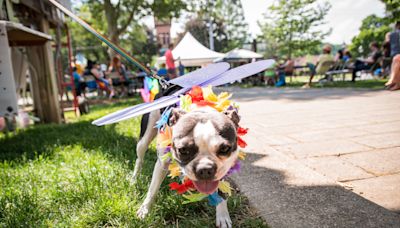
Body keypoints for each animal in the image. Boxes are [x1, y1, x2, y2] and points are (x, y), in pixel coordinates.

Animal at [131, 84, 239, 227]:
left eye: (225, 149)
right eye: (182, 150)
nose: (205, 169)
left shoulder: (225, 169)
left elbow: (221, 191)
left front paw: (223, 216)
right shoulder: (162, 163)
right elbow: (152, 189)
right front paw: (144, 210)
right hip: (144, 138)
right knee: (139, 159)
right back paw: (133, 179)